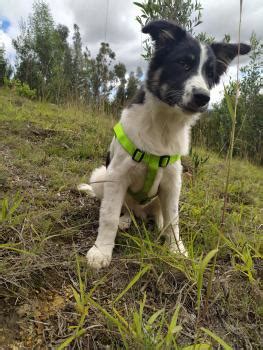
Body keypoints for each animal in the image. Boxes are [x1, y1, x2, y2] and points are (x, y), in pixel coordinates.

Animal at [79, 20, 252, 270]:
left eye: (209, 74)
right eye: (183, 64)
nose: (203, 97)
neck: (163, 125)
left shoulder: (172, 181)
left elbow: (173, 219)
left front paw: (176, 250)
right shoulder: (117, 175)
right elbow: (109, 216)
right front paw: (101, 250)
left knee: (159, 212)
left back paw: (157, 224)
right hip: (101, 175)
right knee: (125, 208)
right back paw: (125, 220)